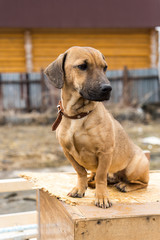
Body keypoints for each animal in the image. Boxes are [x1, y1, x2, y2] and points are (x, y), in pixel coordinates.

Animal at [44, 46, 149, 208]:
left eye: (104, 67)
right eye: (82, 66)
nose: (108, 88)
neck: (79, 115)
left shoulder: (105, 152)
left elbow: (101, 176)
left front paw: (101, 197)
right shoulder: (67, 152)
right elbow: (80, 171)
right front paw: (80, 188)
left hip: (134, 169)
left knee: (142, 184)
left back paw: (125, 185)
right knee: (96, 176)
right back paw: (93, 181)